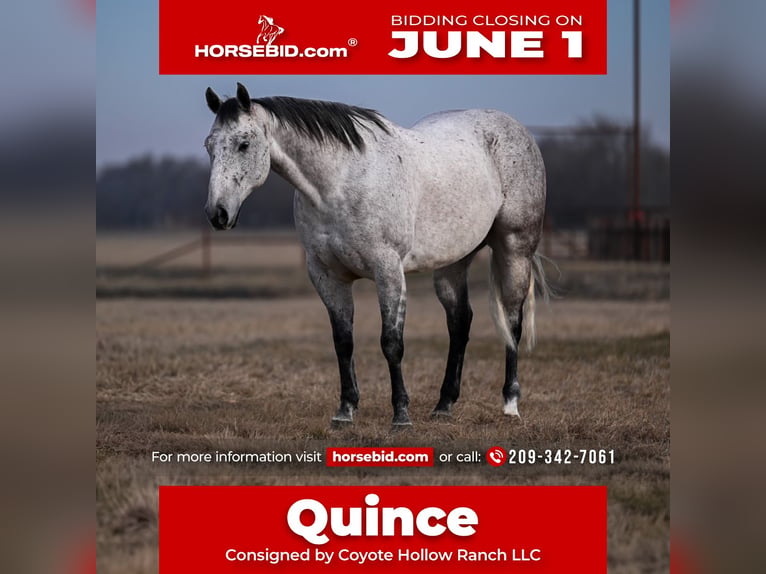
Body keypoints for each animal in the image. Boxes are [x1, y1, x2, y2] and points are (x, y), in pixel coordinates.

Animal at [203, 83, 549, 426]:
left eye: (243, 144)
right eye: (209, 146)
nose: (217, 214)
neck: (339, 184)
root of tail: (516, 130)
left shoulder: (388, 271)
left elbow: (391, 342)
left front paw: (401, 415)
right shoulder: (327, 276)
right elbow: (343, 342)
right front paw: (345, 411)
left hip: (514, 249)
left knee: (512, 321)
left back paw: (510, 404)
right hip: (452, 264)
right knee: (460, 322)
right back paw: (444, 405)